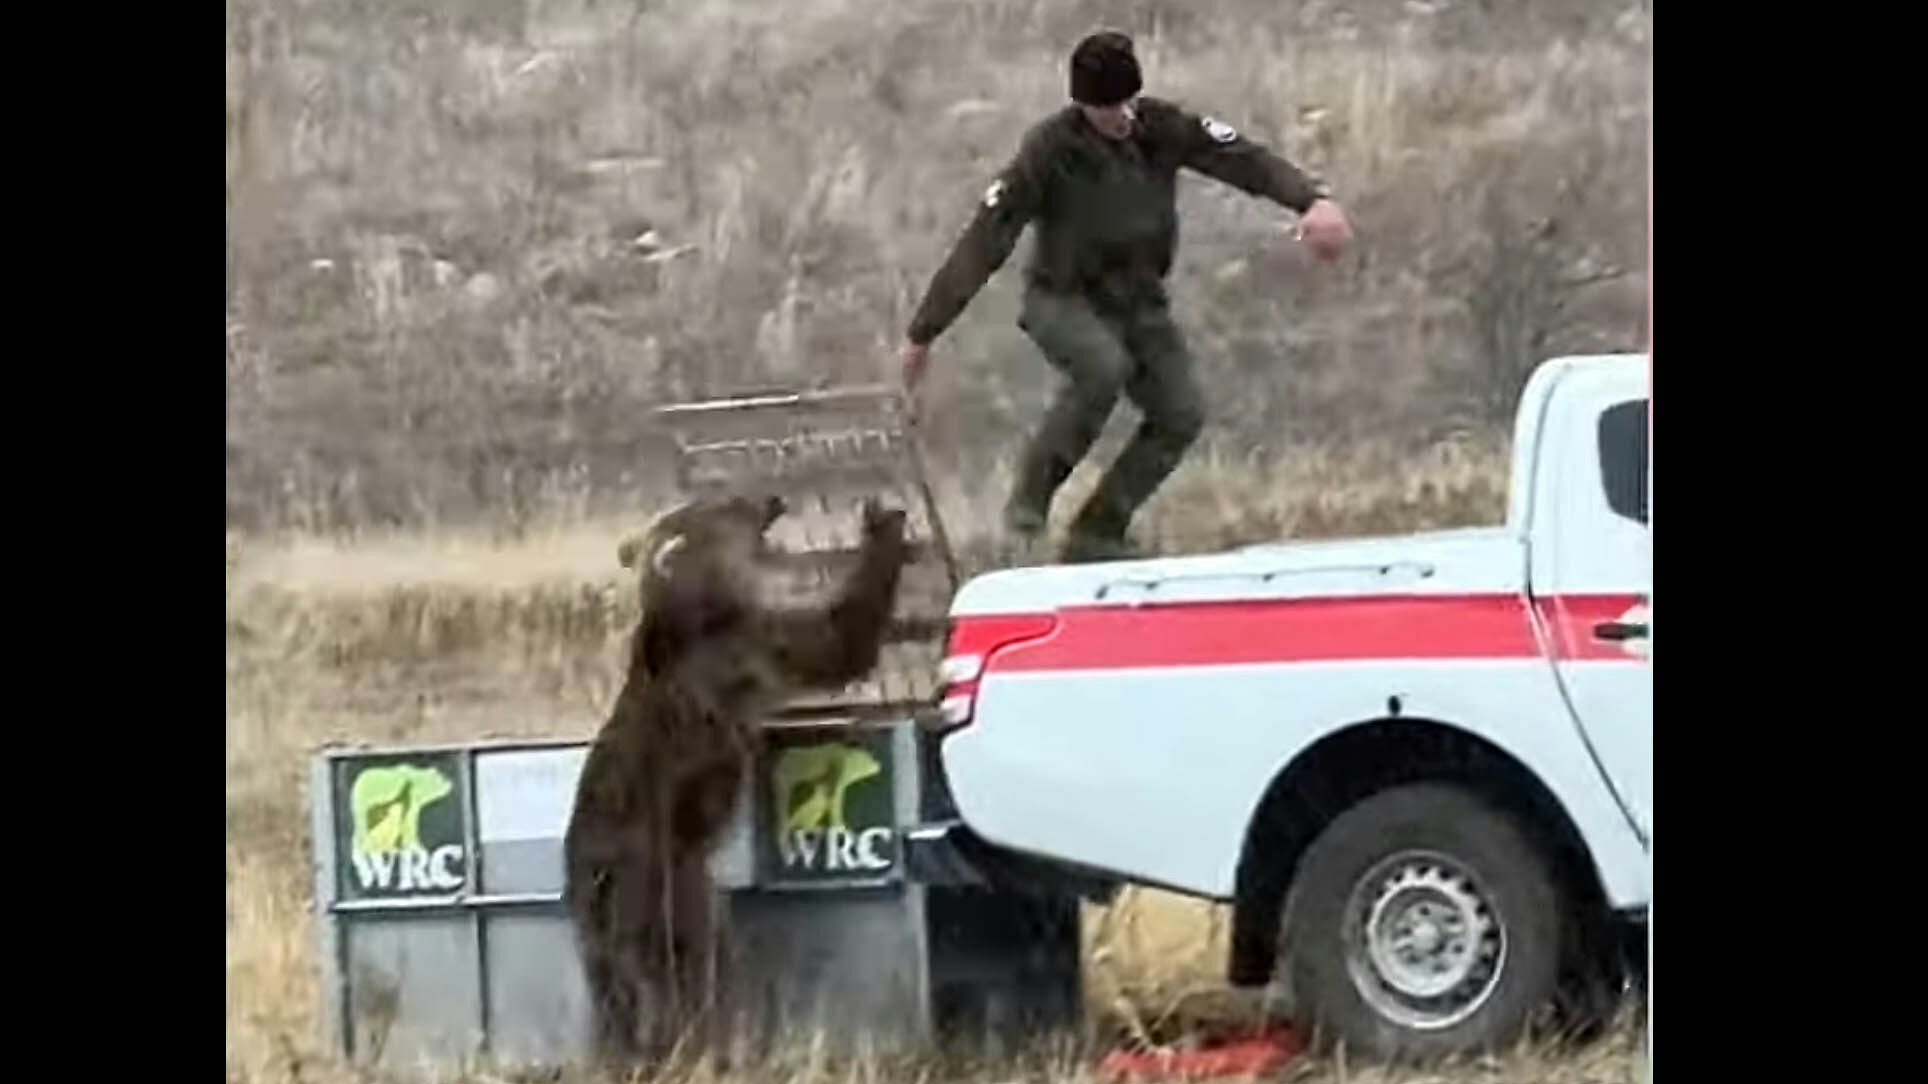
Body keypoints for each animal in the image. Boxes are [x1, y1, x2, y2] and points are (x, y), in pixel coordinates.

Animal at [562, 497, 910, 1064]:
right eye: (730, 506)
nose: (773, 499)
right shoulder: (741, 646)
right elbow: (829, 640)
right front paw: (883, 527)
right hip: (661, 881)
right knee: (681, 973)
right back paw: (694, 1045)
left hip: (604, 921)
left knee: (621, 993)